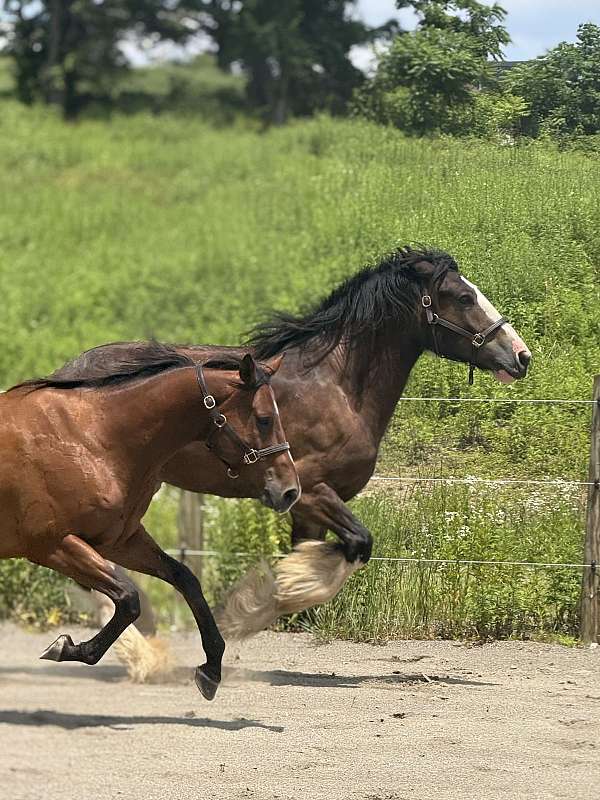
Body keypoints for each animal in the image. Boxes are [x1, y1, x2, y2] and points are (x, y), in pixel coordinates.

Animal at [0, 343, 299, 699]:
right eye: (265, 420)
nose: (290, 491)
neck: (91, 439)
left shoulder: (120, 541)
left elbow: (185, 579)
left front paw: (211, 670)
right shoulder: (53, 545)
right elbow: (129, 598)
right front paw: (67, 647)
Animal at [52, 247, 531, 644]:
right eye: (463, 297)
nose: (521, 356)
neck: (337, 387)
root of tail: (66, 371)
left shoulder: (305, 508)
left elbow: (332, 556)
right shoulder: (311, 491)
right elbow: (359, 542)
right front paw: (252, 610)